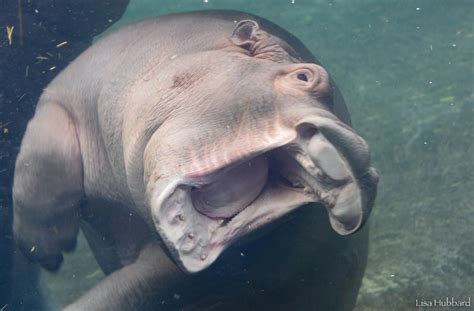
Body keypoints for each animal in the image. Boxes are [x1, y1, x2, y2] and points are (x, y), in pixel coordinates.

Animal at [12, 10, 378, 311]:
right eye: (305, 76)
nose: (369, 167)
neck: (187, 47)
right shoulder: (59, 97)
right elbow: (41, 163)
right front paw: (46, 252)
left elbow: (129, 290)